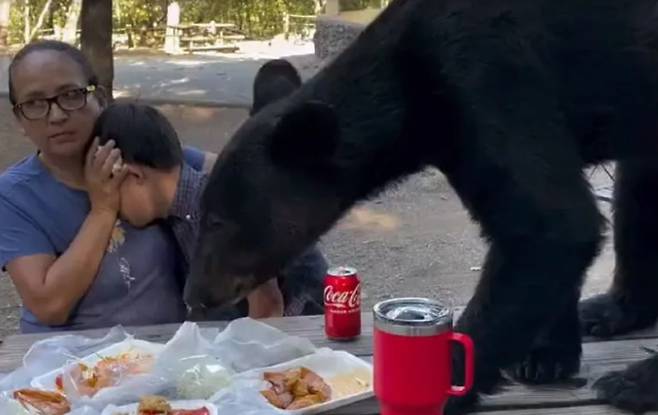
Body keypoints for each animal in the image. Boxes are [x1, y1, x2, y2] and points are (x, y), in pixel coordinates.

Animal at [183, 1, 656, 414]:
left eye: (218, 221)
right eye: (202, 214)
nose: (195, 296)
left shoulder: (489, 76)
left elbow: (550, 224)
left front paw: (448, 387)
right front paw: (546, 355)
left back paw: (633, 381)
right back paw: (612, 310)